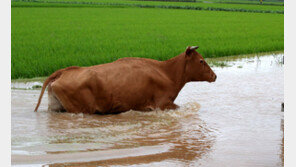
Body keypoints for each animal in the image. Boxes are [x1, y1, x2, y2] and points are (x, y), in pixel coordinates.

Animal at [34, 45, 215, 114]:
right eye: (201, 61)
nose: (215, 75)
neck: (167, 73)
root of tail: (65, 71)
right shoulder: (162, 104)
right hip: (82, 109)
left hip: (56, 106)